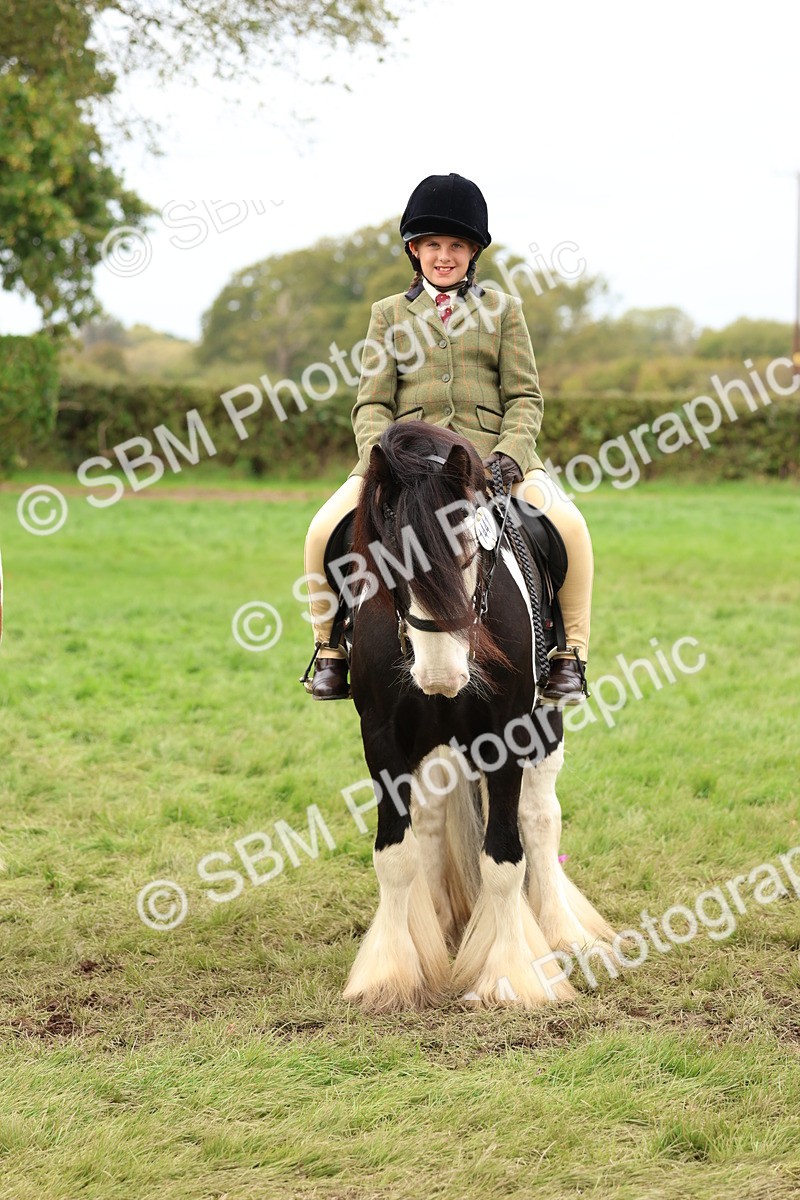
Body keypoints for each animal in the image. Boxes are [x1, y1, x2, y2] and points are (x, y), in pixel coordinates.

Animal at [342, 421, 616, 1012]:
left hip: (545, 724)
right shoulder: (382, 738)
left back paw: (562, 933)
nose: (441, 674)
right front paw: (389, 973)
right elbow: (394, 855)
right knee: (429, 822)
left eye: (471, 553)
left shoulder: (507, 735)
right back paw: (443, 924)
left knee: (540, 819)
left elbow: (505, 858)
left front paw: (513, 974)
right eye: (388, 560)